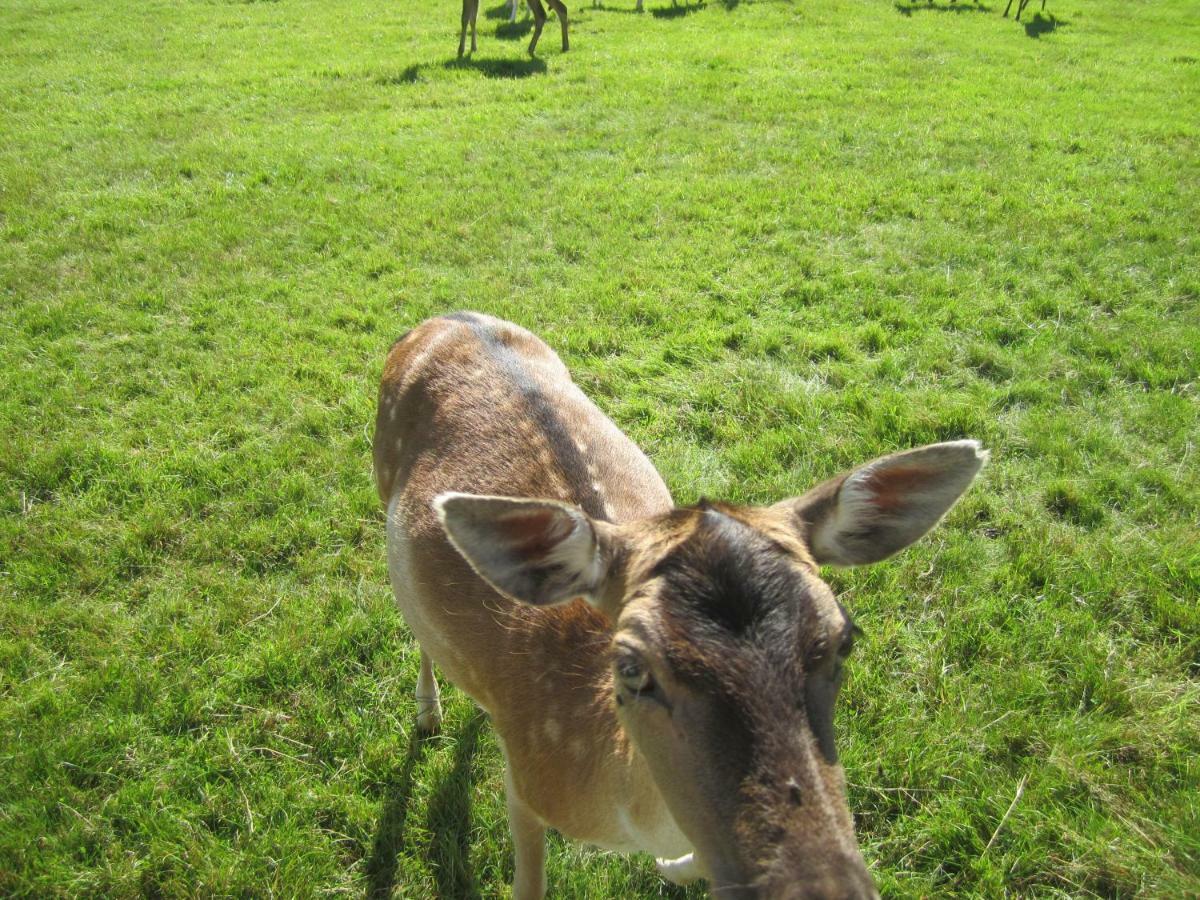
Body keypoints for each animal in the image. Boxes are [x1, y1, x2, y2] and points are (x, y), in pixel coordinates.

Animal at [372, 314, 984, 897]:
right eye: (631, 666)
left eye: (844, 639)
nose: (817, 886)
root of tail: (446, 317)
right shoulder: (527, 781)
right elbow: (528, 883)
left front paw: (673, 868)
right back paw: (429, 713)